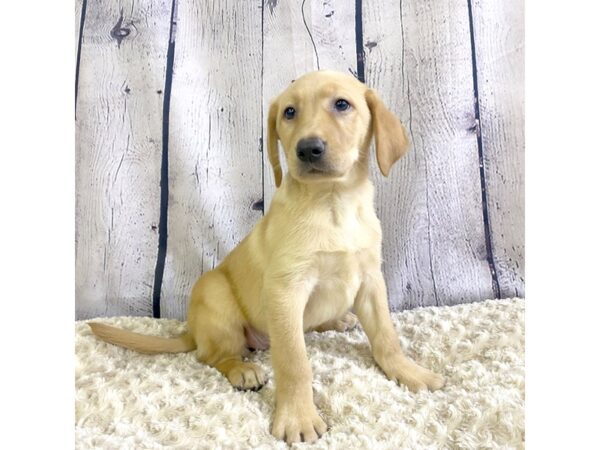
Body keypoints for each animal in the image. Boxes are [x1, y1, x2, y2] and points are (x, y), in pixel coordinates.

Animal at [90, 70, 446, 442]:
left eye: (342, 104)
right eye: (289, 112)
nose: (308, 148)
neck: (332, 202)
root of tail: (193, 331)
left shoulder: (370, 280)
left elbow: (386, 337)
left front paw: (409, 372)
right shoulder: (286, 292)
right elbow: (294, 361)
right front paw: (298, 417)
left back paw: (337, 320)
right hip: (216, 296)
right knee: (212, 356)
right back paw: (243, 370)